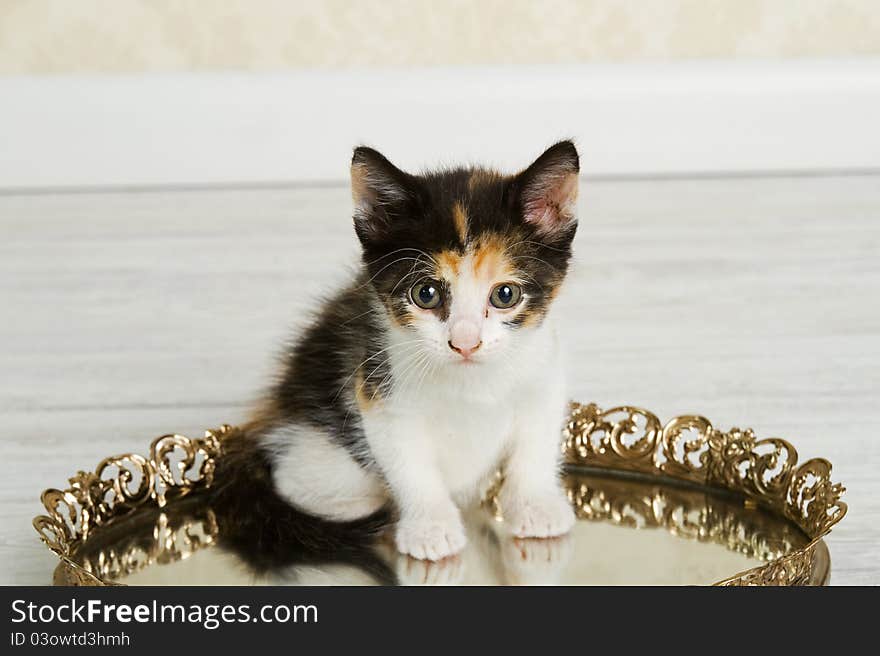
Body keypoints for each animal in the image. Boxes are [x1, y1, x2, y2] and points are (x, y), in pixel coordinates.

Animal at [248, 141, 580, 560]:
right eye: (426, 294)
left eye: (505, 295)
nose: (465, 342)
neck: (473, 383)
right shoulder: (378, 387)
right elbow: (409, 463)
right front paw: (430, 526)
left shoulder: (542, 370)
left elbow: (536, 441)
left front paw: (535, 506)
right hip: (315, 447)